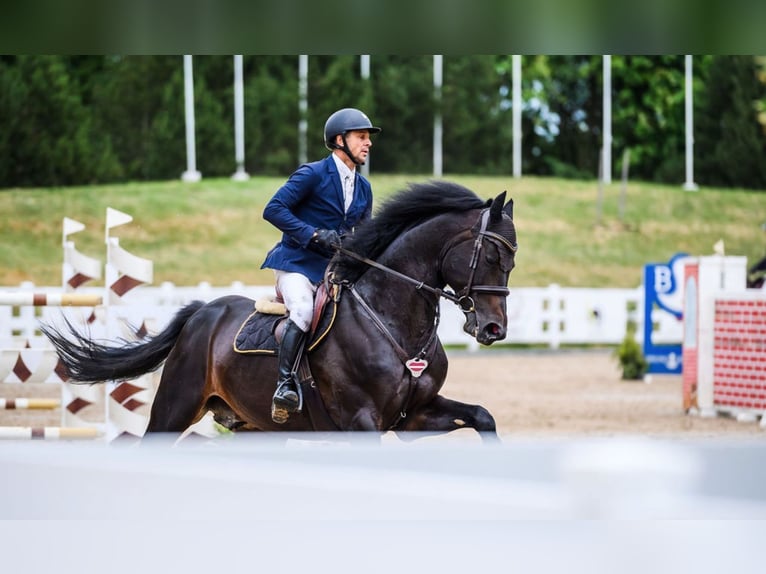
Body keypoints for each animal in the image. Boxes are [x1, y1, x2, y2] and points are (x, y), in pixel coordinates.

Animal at [43, 182, 520, 444]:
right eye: (492, 255)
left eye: (511, 260)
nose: (493, 328)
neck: (392, 321)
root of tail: (202, 313)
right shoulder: (362, 421)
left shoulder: (414, 415)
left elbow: (483, 417)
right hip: (175, 407)